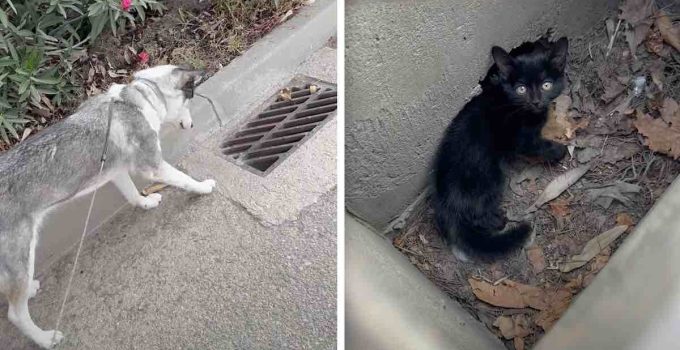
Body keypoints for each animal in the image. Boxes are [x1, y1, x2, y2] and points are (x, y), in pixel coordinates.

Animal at [0, 65, 215, 348]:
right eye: (190, 101)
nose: (192, 124)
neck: (140, 98)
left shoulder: (117, 172)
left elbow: (132, 195)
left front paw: (146, 202)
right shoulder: (153, 167)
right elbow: (186, 180)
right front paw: (204, 187)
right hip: (22, 255)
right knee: (16, 313)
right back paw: (45, 338)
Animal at [430, 37, 568, 258]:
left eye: (546, 85)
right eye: (521, 89)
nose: (536, 101)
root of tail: (446, 204)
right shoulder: (520, 139)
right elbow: (537, 146)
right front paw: (559, 151)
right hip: (491, 175)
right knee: (477, 214)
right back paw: (498, 221)